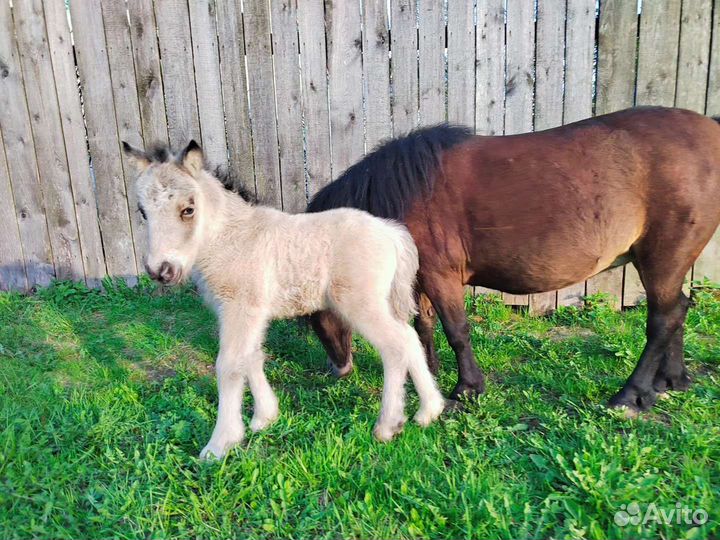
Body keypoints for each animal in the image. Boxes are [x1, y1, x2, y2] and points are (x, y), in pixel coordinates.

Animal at [122, 140, 446, 459]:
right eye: (142, 212)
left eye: (188, 209)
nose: (161, 271)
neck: (228, 239)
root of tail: (391, 232)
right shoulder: (250, 313)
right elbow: (251, 357)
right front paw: (264, 418)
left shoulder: (240, 308)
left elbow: (229, 365)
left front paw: (220, 444)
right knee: (409, 339)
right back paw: (429, 411)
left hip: (361, 305)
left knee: (394, 347)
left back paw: (389, 425)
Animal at [307, 106, 720, 415]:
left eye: (316, 311)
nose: (338, 368)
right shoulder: (422, 278)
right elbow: (423, 326)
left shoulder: (441, 277)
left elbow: (457, 331)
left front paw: (468, 389)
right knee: (678, 309)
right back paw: (671, 380)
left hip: (662, 257)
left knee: (663, 319)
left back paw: (630, 395)